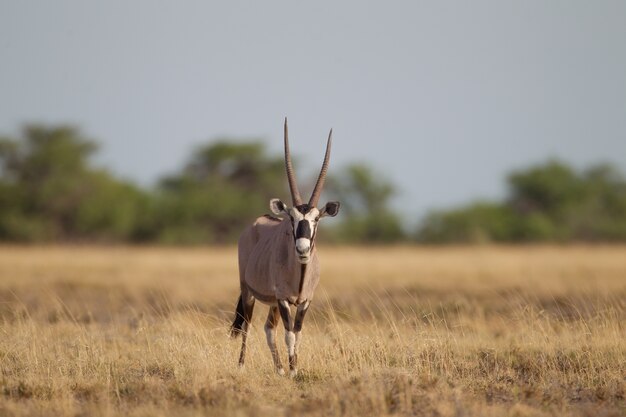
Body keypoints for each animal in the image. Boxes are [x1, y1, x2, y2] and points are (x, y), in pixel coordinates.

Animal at [229, 118, 338, 376]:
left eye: (316, 219)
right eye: (291, 218)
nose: (302, 249)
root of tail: (255, 223)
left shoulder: (304, 301)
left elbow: (297, 335)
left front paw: (292, 368)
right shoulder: (284, 299)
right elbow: (289, 336)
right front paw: (293, 372)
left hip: (272, 302)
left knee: (269, 328)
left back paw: (278, 368)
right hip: (248, 292)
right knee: (247, 326)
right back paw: (241, 365)